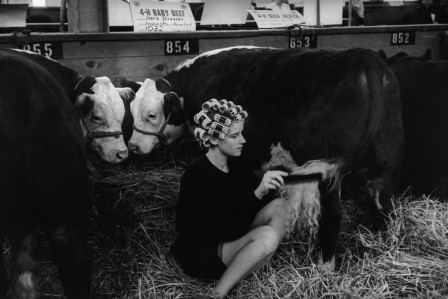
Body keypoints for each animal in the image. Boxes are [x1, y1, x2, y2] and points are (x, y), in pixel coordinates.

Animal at [125, 46, 402, 270]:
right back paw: (384, 249)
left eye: (152, 115)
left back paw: (325, 268)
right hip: (381, 170)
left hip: (330, 175)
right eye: (132, 111)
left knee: (332, 217)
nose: (133, 146)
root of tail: (365, 58)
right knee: (384, 210)